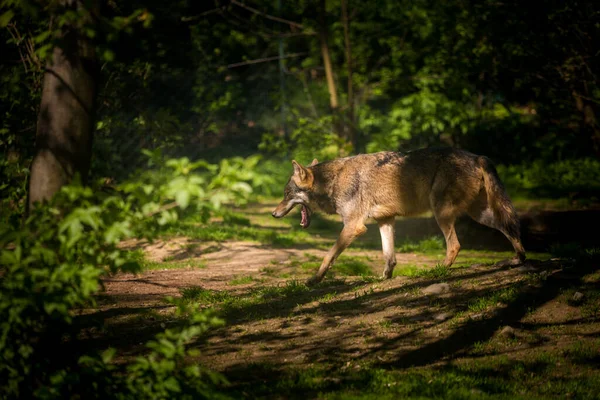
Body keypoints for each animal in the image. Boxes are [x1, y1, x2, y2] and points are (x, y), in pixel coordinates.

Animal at [272, 147, 524, 284]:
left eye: (286, 194)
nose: (273, 213)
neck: (332, 181)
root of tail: (477, 156)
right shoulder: (385, 220)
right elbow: (389, 255)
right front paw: (385, 277)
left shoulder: (353, 226)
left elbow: (328, 256)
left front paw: (314, 280)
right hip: (480, 215)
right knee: (511, 228)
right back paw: (517, 260)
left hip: (441, 213)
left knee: (455, 245)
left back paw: (439, 270)